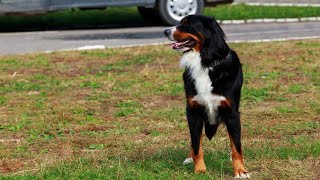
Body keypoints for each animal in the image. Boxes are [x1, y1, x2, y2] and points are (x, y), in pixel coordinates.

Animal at [165, 14, 250, 178]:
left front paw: (240, 171)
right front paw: (199, 169)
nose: (165, 31)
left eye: (186, 24)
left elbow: (236, 147)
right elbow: (197, 145)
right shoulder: (193, 112)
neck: (205, 64)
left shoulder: (232, 114)